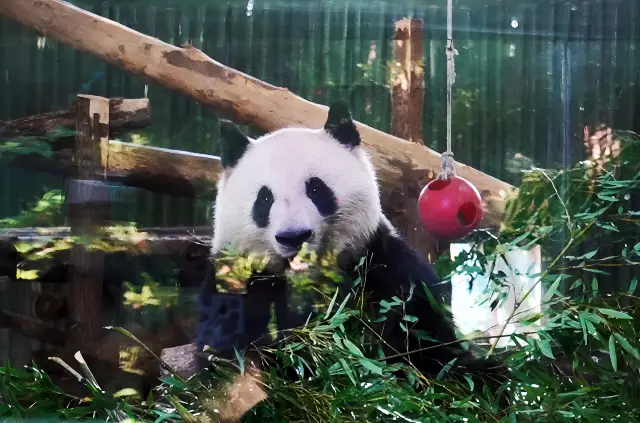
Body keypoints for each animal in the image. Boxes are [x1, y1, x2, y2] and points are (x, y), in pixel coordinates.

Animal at [198, 101, 508, 392]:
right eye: (264, 199)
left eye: (316, 189)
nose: (294, 236)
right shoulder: (238, 280)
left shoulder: (378, 261)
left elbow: (421, 331)